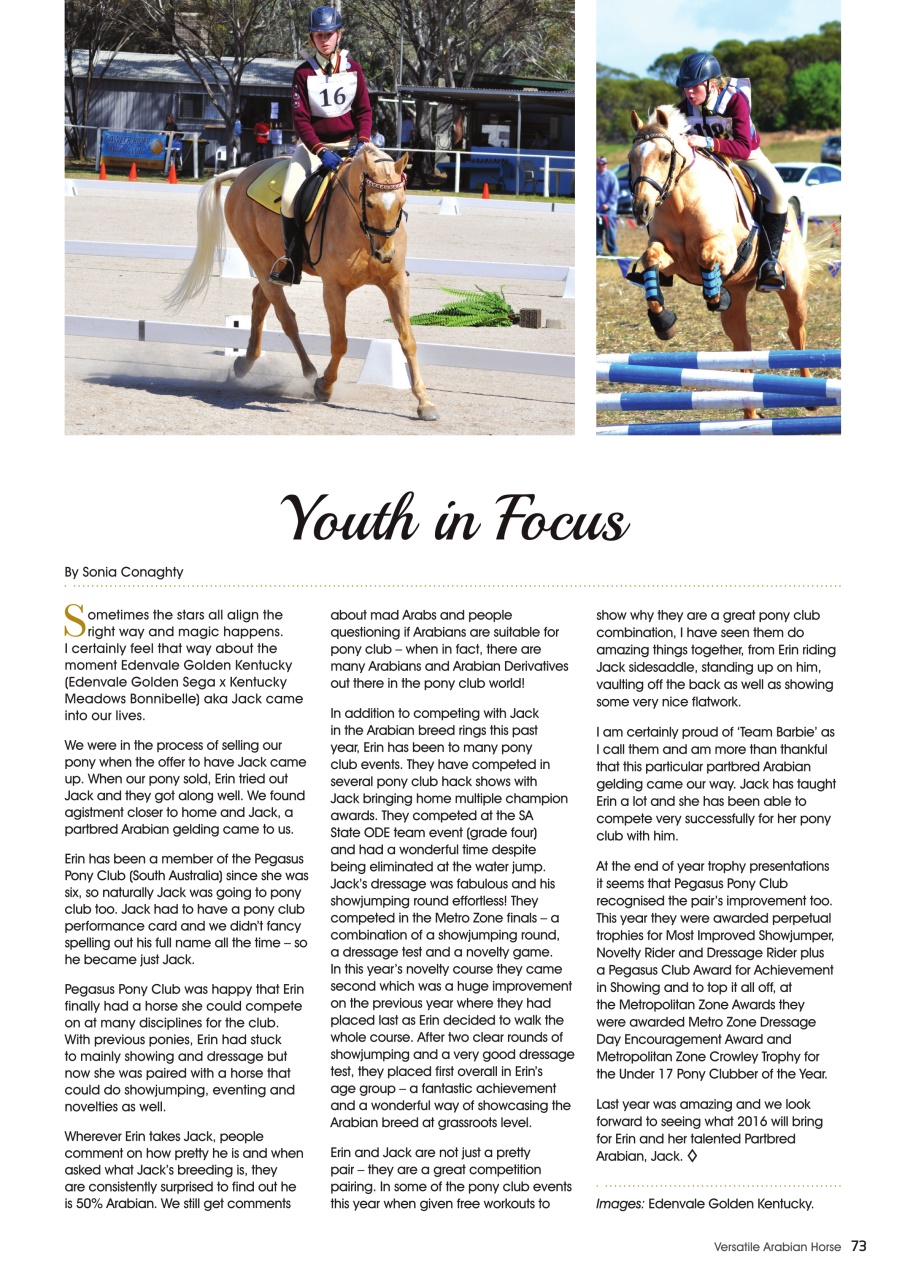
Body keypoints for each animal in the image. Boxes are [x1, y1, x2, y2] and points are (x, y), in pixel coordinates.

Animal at [168, 144, 438, 421]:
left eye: (402, 202)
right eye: (371, 204)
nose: (384, 255)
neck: (361, 232)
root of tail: (243, 173)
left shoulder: (395, 282)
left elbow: (407, 340)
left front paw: (424, 403)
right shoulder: (333, 289)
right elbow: (339, 342)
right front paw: (324, 387)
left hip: (273, 265)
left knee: (260, 300)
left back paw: (245, 363)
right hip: (259, 258)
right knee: (286, 317)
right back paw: (308, 373)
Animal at [626, 106, 812, 406]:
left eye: (664, 156)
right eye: (631, 158)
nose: (641, 209)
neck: (681, 200)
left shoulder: (725, 247)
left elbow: (706, 254)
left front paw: (715, 295)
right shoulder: (672, 257)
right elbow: (652, 258)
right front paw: (664, 322)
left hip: (793, 286)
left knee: (796, 331)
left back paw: (809, 393)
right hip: (739, 298)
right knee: (743, 344)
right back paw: (749, 408)